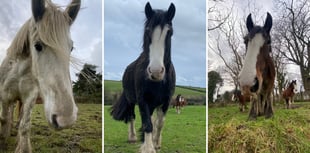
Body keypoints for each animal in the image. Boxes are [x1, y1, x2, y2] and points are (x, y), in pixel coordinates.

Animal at [0, 0, 81, 152]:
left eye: (71, 48)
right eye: (37, 45)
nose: (66, 119)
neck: (19, 71)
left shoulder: (30, 97)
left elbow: (25, 126)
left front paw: (22, 147)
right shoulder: (4, 96)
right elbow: (4, 119)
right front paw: (3, 139)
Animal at [110, 2, 176, 153]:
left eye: (169, 32)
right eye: (147, 31)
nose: (156, 71)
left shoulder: (166, 101)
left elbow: (159, 123)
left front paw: (156, 143)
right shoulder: (142, 100)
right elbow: (147, 124)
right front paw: (148, 148)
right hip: (130, 100)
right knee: (131, 116)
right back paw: (133, 137)